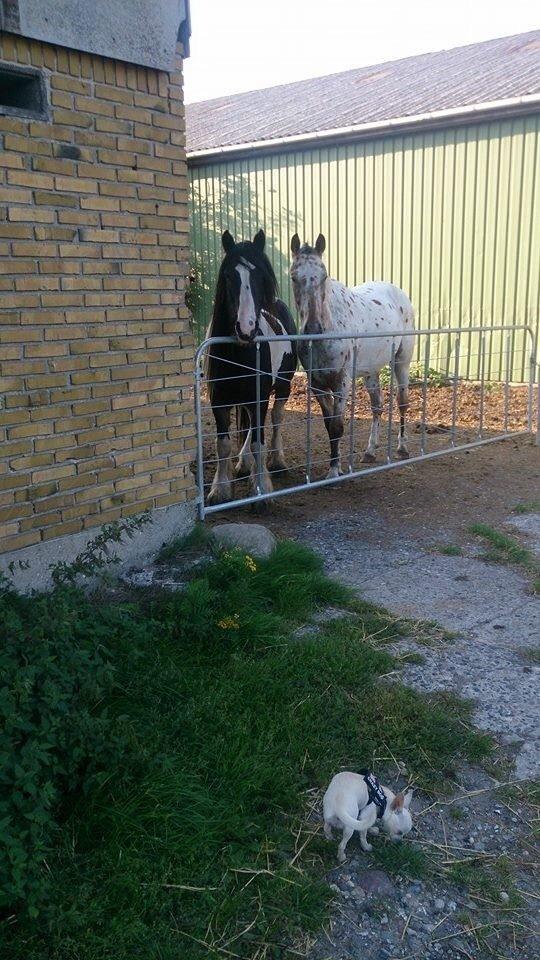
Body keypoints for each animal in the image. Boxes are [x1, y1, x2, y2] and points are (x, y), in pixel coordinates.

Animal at [204, 229, 296, 506]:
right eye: (227, 275)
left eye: (261, 276)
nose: (246, 328)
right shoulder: (219, 401)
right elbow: (223, 445)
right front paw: (220, 490)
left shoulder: (259, 398)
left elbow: (259, 442)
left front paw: (262, 488)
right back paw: (245, 464)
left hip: (283, 388)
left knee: (275, 421)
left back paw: (276, 462)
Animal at [292, 231, 414, 474]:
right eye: (293, 277)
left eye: (324, 276)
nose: (313, 328)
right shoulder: (317, 385)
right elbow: (329, 425)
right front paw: (335, 466)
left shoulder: (342, 382)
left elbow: (337, 426)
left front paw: (333, 471)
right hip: (371, 372)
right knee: (377, 407)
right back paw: (370, 452)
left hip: (401, 362)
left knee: (402, 402)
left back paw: (402, 449)